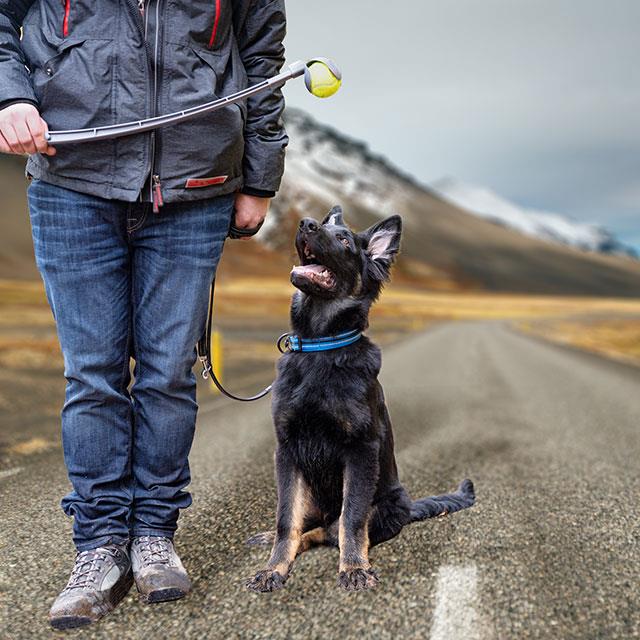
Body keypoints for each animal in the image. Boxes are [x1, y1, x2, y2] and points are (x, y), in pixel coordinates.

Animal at [245, 208, 476, 592]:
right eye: (324, 227)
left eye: (344, 240)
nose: (305, 223)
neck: (320, 347)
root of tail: (409, 507)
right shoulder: (287, 450)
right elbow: (286, 519)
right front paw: (274, 568)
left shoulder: (360, 450)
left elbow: (351, 518)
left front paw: (353, 567)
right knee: (308, 524)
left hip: (384, 505)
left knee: (330, 529)